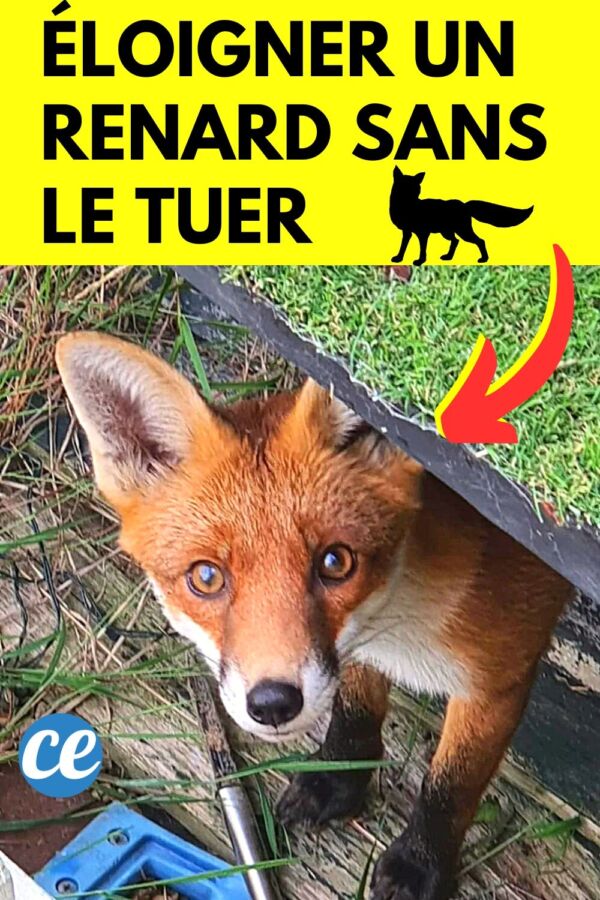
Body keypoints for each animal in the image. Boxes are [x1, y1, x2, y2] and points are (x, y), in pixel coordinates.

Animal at [56, 332, 571, 900]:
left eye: (335, 562)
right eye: (206, 577)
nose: (273, 704)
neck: (405, 614)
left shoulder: (497, 682)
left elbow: (450, 786)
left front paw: (419, 865)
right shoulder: (359, 646)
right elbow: (355, 712)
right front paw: (338, 780)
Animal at [390, 167, 533, 266]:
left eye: (416, 188)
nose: (415, 195)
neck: (408, 207)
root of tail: (465, 204)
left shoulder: (423, 233)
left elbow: (422, 249)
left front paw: (420, 261)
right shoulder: (407, 232)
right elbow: (403, 247)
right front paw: (399, 258)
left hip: (462, 231)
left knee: (480, 240)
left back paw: (483, 259)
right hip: (447, 232)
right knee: (456, 241)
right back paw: (448, 257)